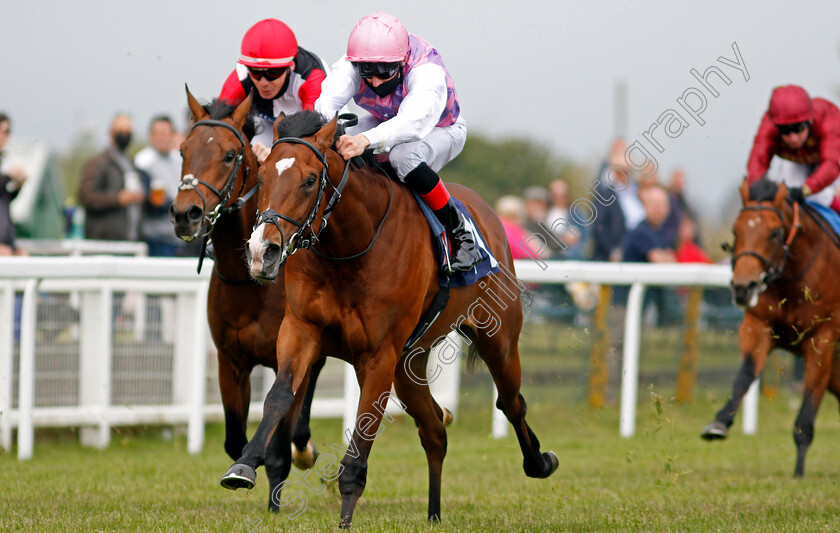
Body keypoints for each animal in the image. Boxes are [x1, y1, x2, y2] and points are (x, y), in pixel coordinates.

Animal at [169, 89, 326, 510]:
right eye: (183, 150)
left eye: (228, 154)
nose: (185, 213)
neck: (249, 284)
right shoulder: (230, 361)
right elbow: (234, 439)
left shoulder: (286, 356)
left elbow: (279, 446)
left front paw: (273, 504)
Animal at [223, 110, 560, 524]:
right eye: (264, 176)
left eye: (310, 180)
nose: (262, 252)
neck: (350, 248)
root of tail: (490, 217)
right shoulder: (301, 330)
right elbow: (279, 395)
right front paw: (244, 464)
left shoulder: (379, 355)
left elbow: (360, 443)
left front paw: (344, 522)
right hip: (409, 364)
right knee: (434, 428)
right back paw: (434, 515)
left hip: (498, 339)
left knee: (512, 403)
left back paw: (539, 462)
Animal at [700, 177, 840, 476]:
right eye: (736, 229)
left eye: (775, 233)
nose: (743, 287)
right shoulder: (758, 325)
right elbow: (746, 374)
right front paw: (719, 423)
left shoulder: (823, 337)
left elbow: (808, 405)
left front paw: (798, 475)